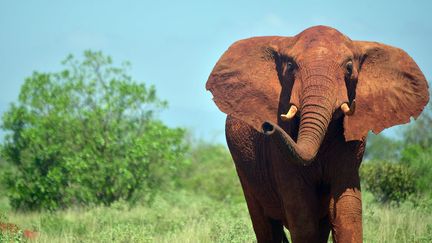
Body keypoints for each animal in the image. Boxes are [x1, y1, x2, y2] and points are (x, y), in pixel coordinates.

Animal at [206, 25, 428, 242]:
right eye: (290, 67)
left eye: (349, 68)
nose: (268, 126)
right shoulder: (278, 154)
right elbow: (302, 216)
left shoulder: (352, 144)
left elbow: (347, 212)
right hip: (245, 172)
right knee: (265, 225)